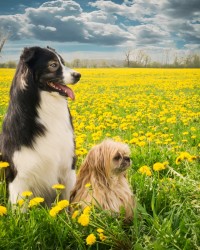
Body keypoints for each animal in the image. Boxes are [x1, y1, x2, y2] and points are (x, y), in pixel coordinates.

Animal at [0, 46, 81, 205]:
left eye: (63, 62)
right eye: (53, 65)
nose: (78, 75)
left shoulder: (68, 165)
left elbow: (69, 202)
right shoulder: (19, 175)